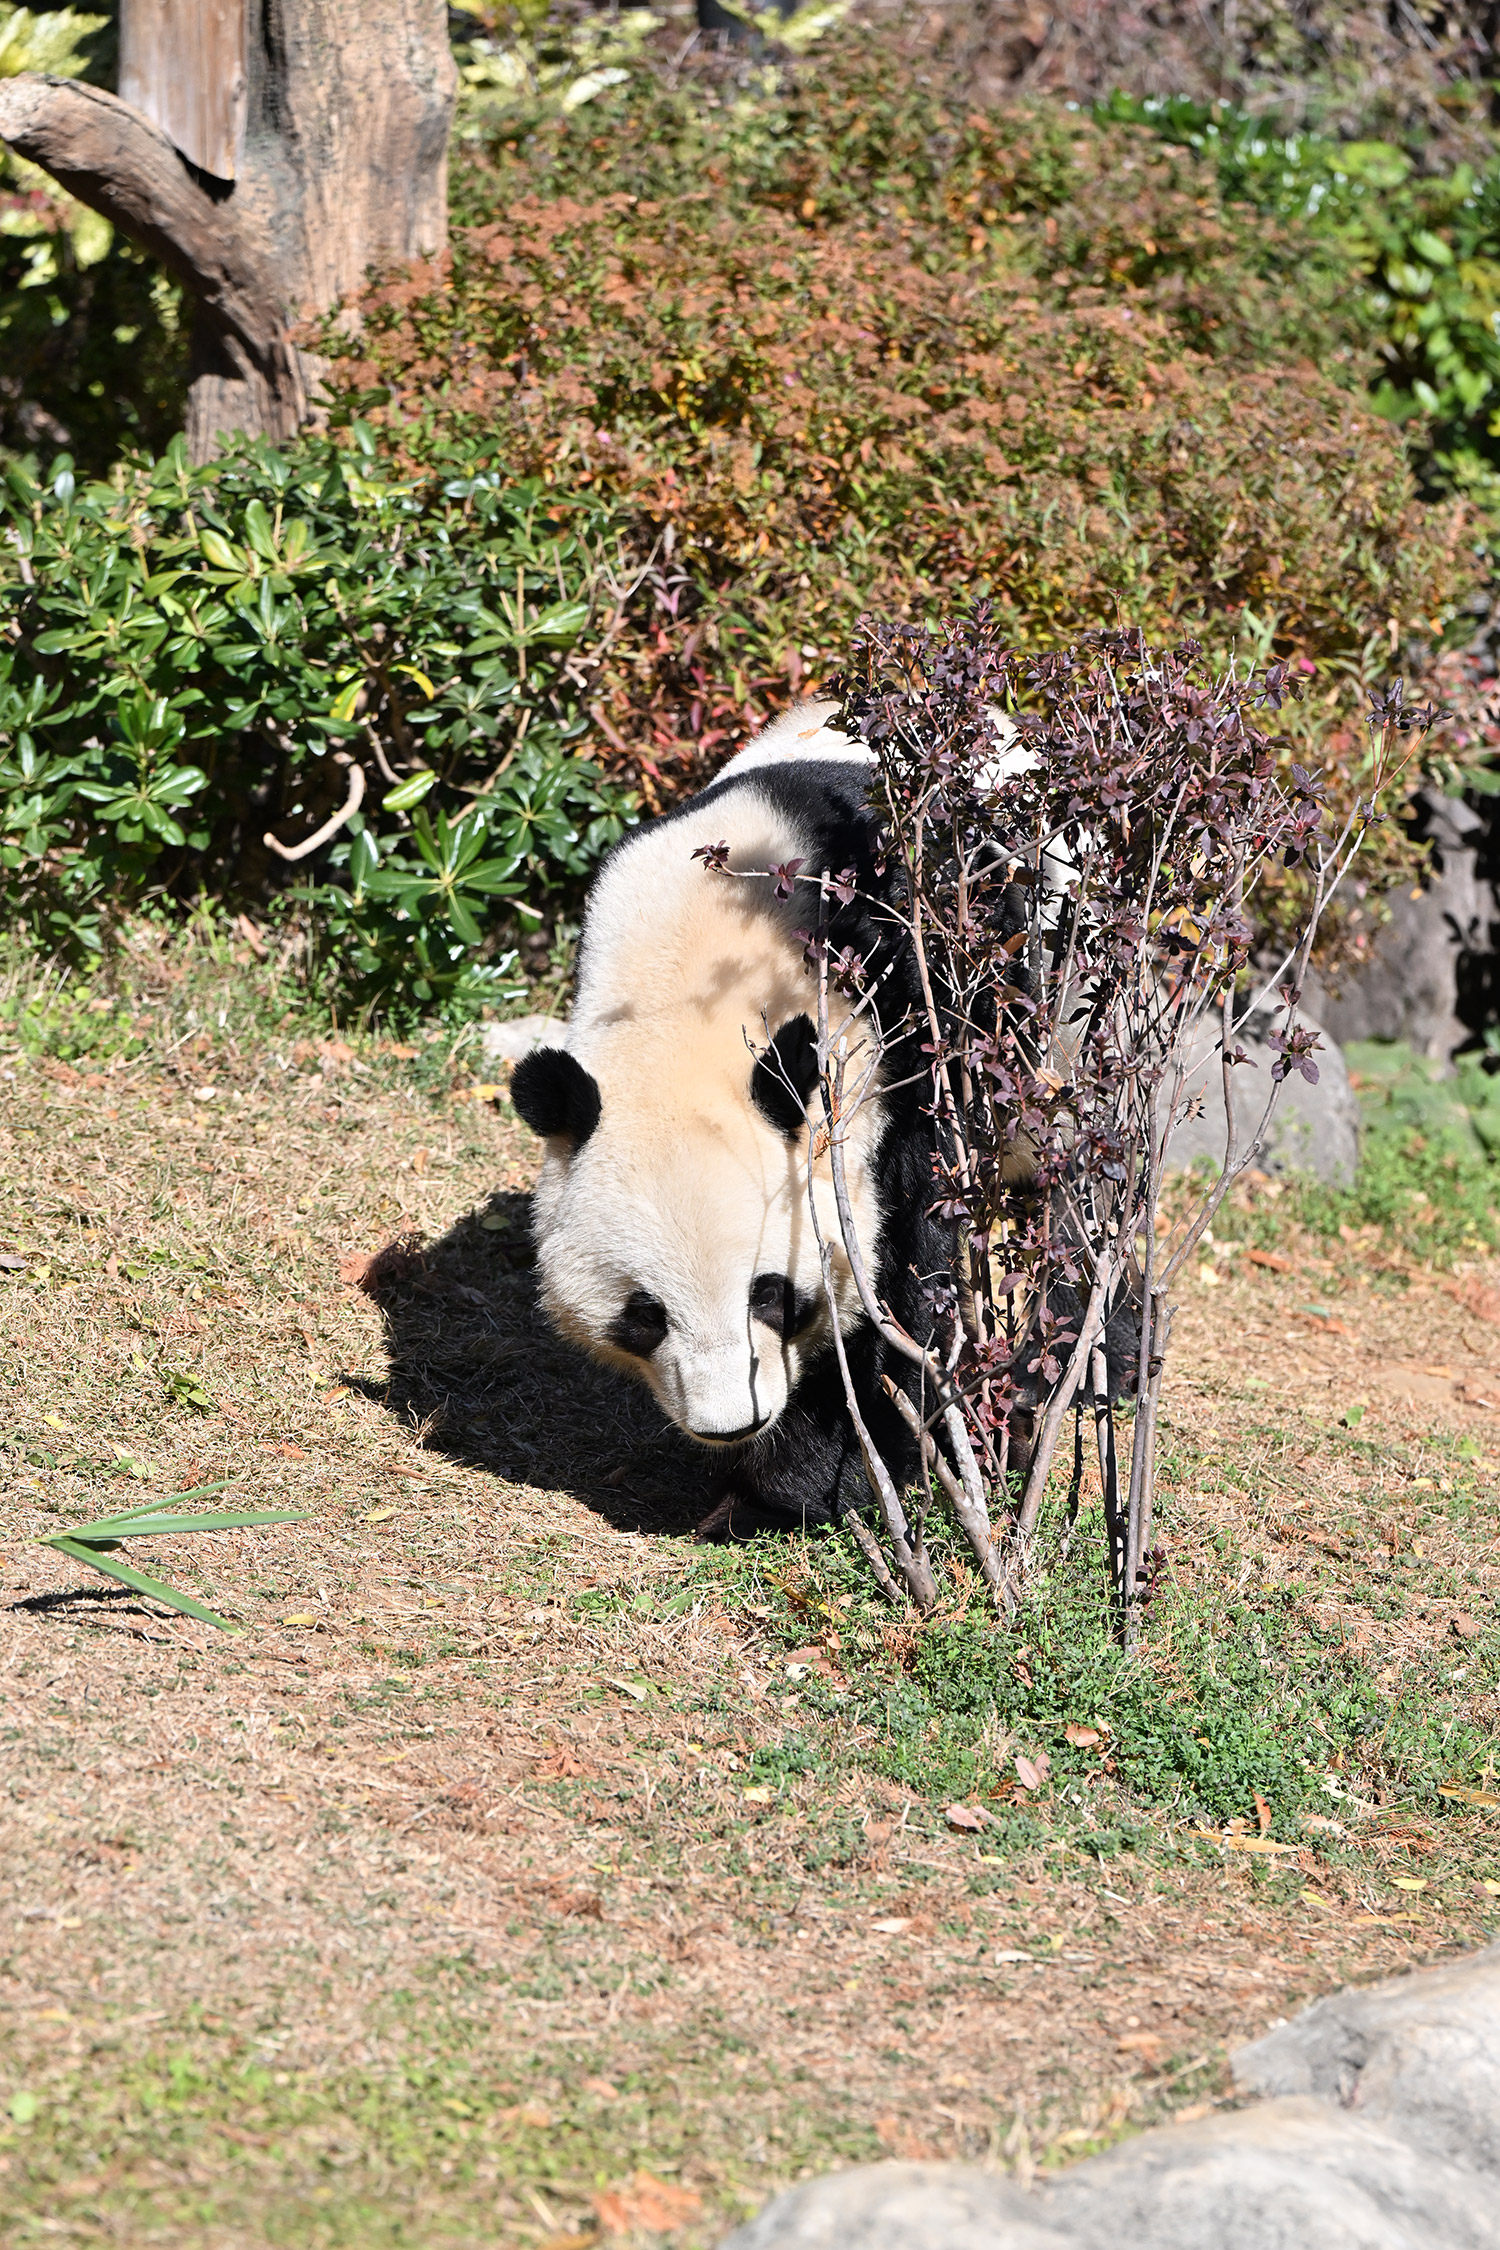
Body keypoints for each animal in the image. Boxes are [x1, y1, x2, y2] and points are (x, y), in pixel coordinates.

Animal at [510, 698, 1031, 1533]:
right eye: (644, 1313)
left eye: (771, 1294)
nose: (732, 1424)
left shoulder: (907, 1013)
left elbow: (911, 1264)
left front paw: (835, 1474)